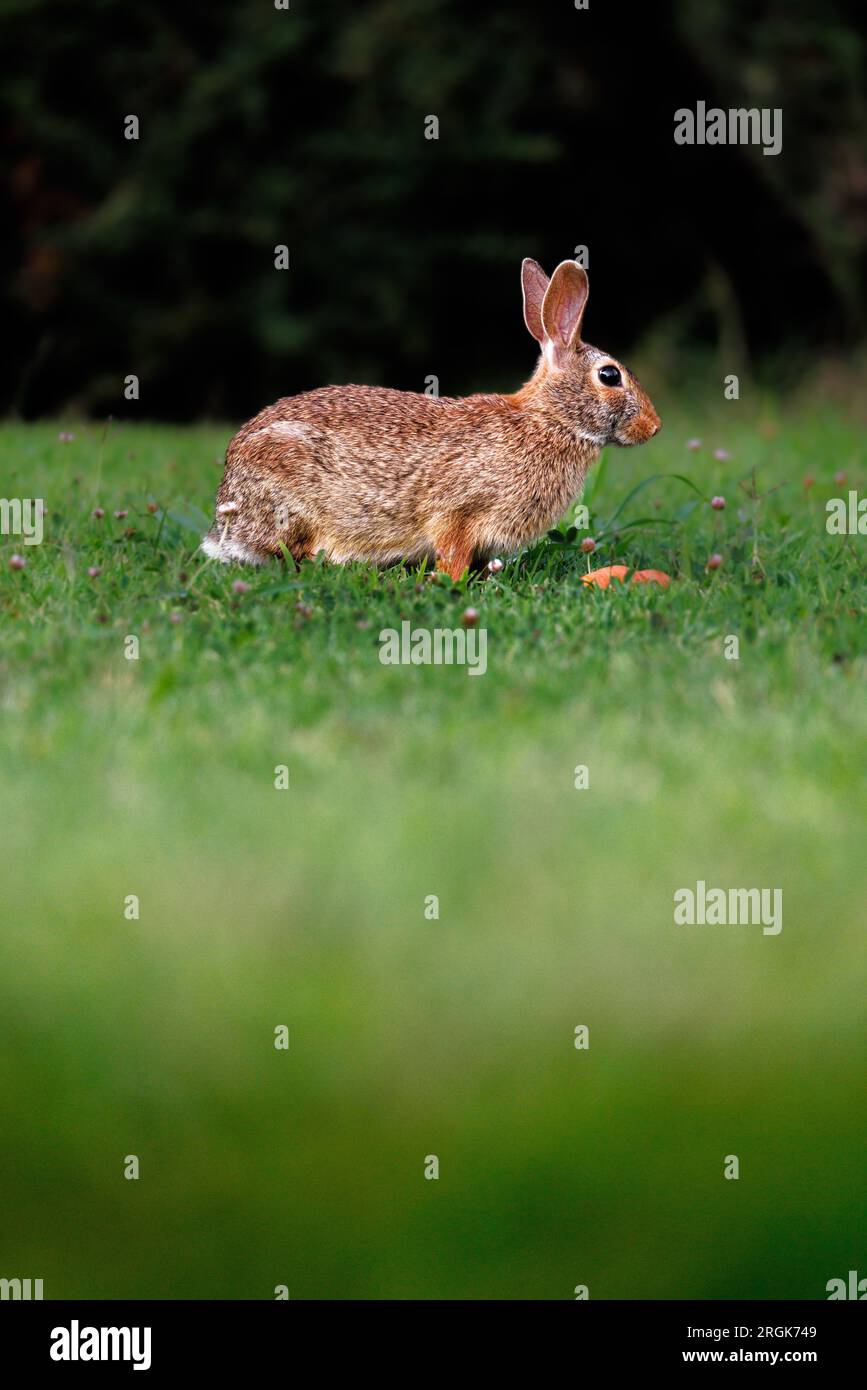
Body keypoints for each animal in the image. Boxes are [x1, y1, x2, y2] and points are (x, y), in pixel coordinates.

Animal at [202, 258, 661, 578]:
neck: (549, 418)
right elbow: (451, 550)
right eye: (609, 375)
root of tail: (227, 506)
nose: (654, 427)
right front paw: (452, 582)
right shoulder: (457, 513)